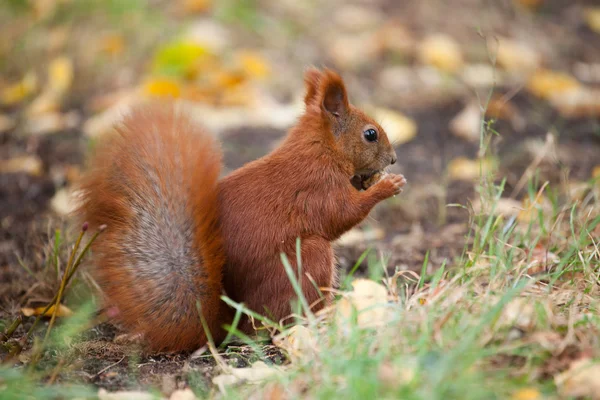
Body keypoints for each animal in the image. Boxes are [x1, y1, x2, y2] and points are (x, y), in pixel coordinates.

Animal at [74, 67, 404, 352]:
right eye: (370, 134)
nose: (393, 159)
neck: (321, 149)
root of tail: (230, 321)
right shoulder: (319, 187)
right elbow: (342, 215)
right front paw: (386, 186)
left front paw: (370, 181)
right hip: (309, 258)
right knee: (277, 323)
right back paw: (321, 320)